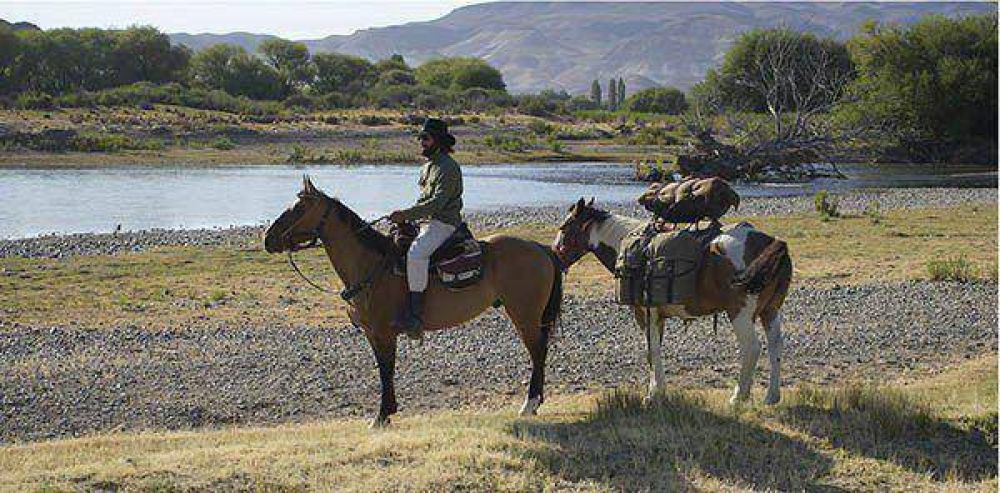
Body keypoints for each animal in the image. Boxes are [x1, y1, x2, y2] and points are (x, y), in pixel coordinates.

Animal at [263, 177, 563, 427]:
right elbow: (384, 369)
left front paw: (381, 416)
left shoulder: (384, 333)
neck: (372, 266)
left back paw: (529, 404)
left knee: (537, 351)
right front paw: (387, 412)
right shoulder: (373, 334)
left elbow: (386, 371)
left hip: (524, 315)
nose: (267, 238)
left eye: (299, 208)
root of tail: (540, 248)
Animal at [552, 198, 792, 405]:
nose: (555, 256)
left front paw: (653, 394)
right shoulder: (658, 316)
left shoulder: (645, 313)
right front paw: (658, 390)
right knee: (775, 347)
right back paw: (772, 396)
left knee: (751, 348)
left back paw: (739, 396)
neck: (631, 247)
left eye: (564, 227)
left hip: (740, 314)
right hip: (770, 311)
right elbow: (655, 349)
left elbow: (652, 351)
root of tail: (770, 243)